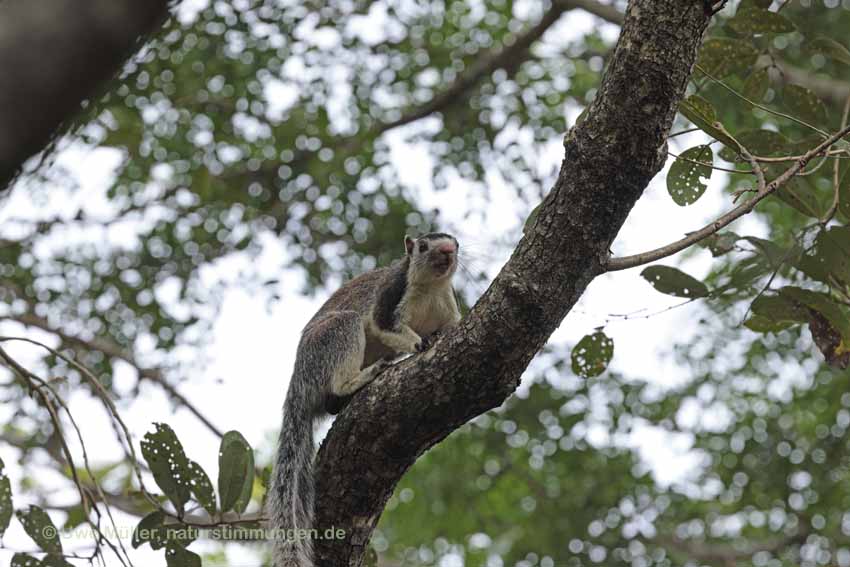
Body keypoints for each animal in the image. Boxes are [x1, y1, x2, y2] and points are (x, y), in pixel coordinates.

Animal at [268, 232, 460, 567]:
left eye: (456, 242)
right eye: (423, 246)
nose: (448, 251)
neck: (431, 289)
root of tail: (299, 385)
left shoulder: (448, 309)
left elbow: (452, 326)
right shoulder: (390, 297)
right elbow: (385, 326)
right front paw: (419, 343)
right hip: (334, 335)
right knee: (340, 367)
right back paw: (360, 378)